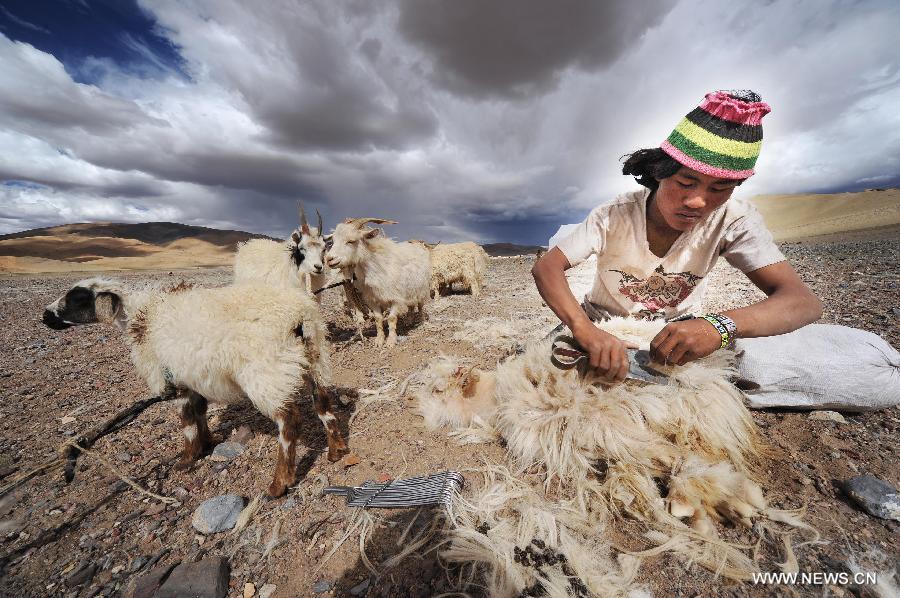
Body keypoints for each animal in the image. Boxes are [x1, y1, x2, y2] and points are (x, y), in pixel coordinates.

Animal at [44, 278, 350, 500]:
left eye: (76, 298)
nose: (45, 317)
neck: (143, 317)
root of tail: (299, 316)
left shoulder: (175, 379)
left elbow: (187, 422)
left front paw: (187, 459)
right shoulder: (193, 378)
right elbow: (200, 413)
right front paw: (207, 444)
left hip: (267, 372)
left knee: (290, 423)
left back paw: (279, 484)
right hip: (317, 358)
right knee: (323, 403)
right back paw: (336, 450)